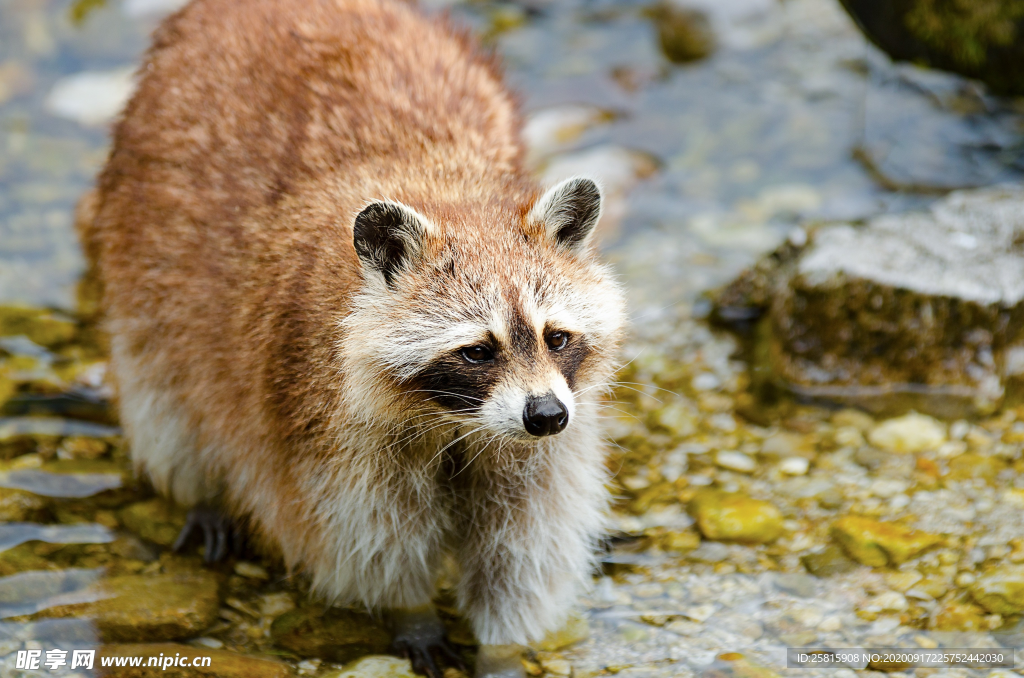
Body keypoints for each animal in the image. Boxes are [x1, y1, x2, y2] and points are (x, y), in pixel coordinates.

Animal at [81, 0, 622, 671]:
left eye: (556, 338)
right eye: (477, 351)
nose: (546, 415)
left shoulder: (542, 448)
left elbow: (522, 549)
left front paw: (502, 648)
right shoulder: (319, 422)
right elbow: (367, 538)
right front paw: (411, 612)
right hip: (148, 264)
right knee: (167, 398)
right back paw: (200, 490)